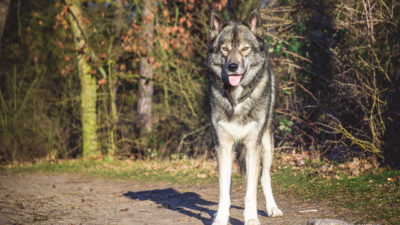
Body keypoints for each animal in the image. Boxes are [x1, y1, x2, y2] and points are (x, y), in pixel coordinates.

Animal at [208, 9, 282, 224]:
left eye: (245, 49)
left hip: (266, 145)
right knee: (229, 183)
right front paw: (220, 218)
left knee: (264, 178)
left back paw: (272, 208)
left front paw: (251, 219)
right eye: (225, 49)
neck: (236, 100)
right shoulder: (223, 146)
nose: (233, 67)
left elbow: (250, 193)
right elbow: (224, 191)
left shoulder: (252, 146)